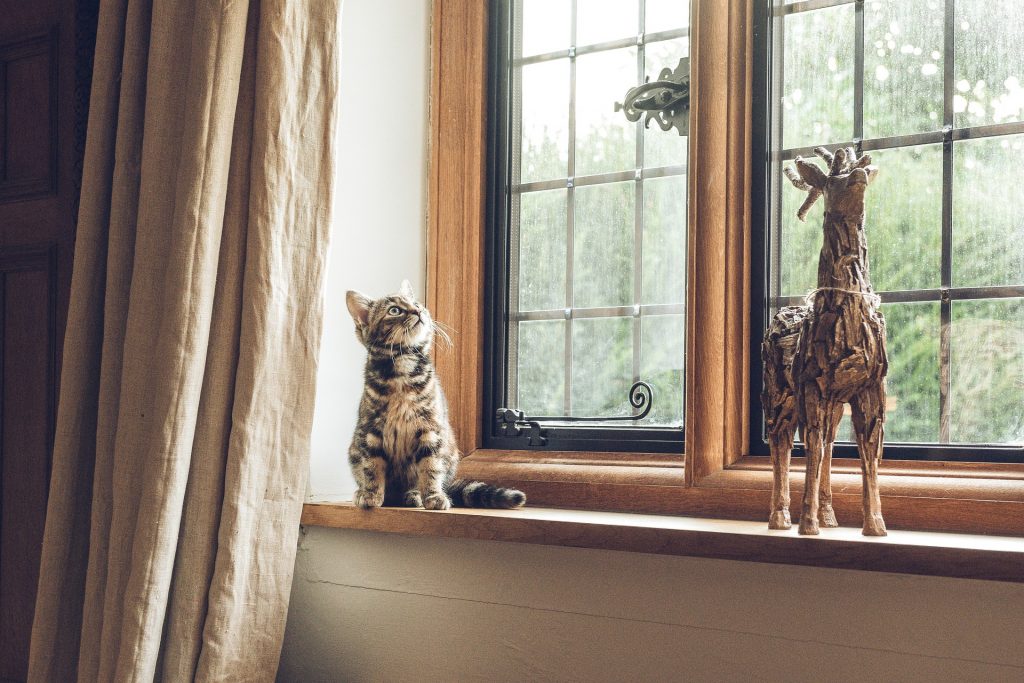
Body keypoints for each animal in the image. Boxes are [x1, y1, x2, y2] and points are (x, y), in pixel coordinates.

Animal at [348, 280, 528, 509]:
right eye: (394, 310)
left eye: (416, 304)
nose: (418, 311)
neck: (403, 367)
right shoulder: (371, 432)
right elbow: (371, 466)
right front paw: (370, 494)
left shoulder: (430, 430)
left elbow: (430, 467)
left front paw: (433, 496)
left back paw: (414, 495)